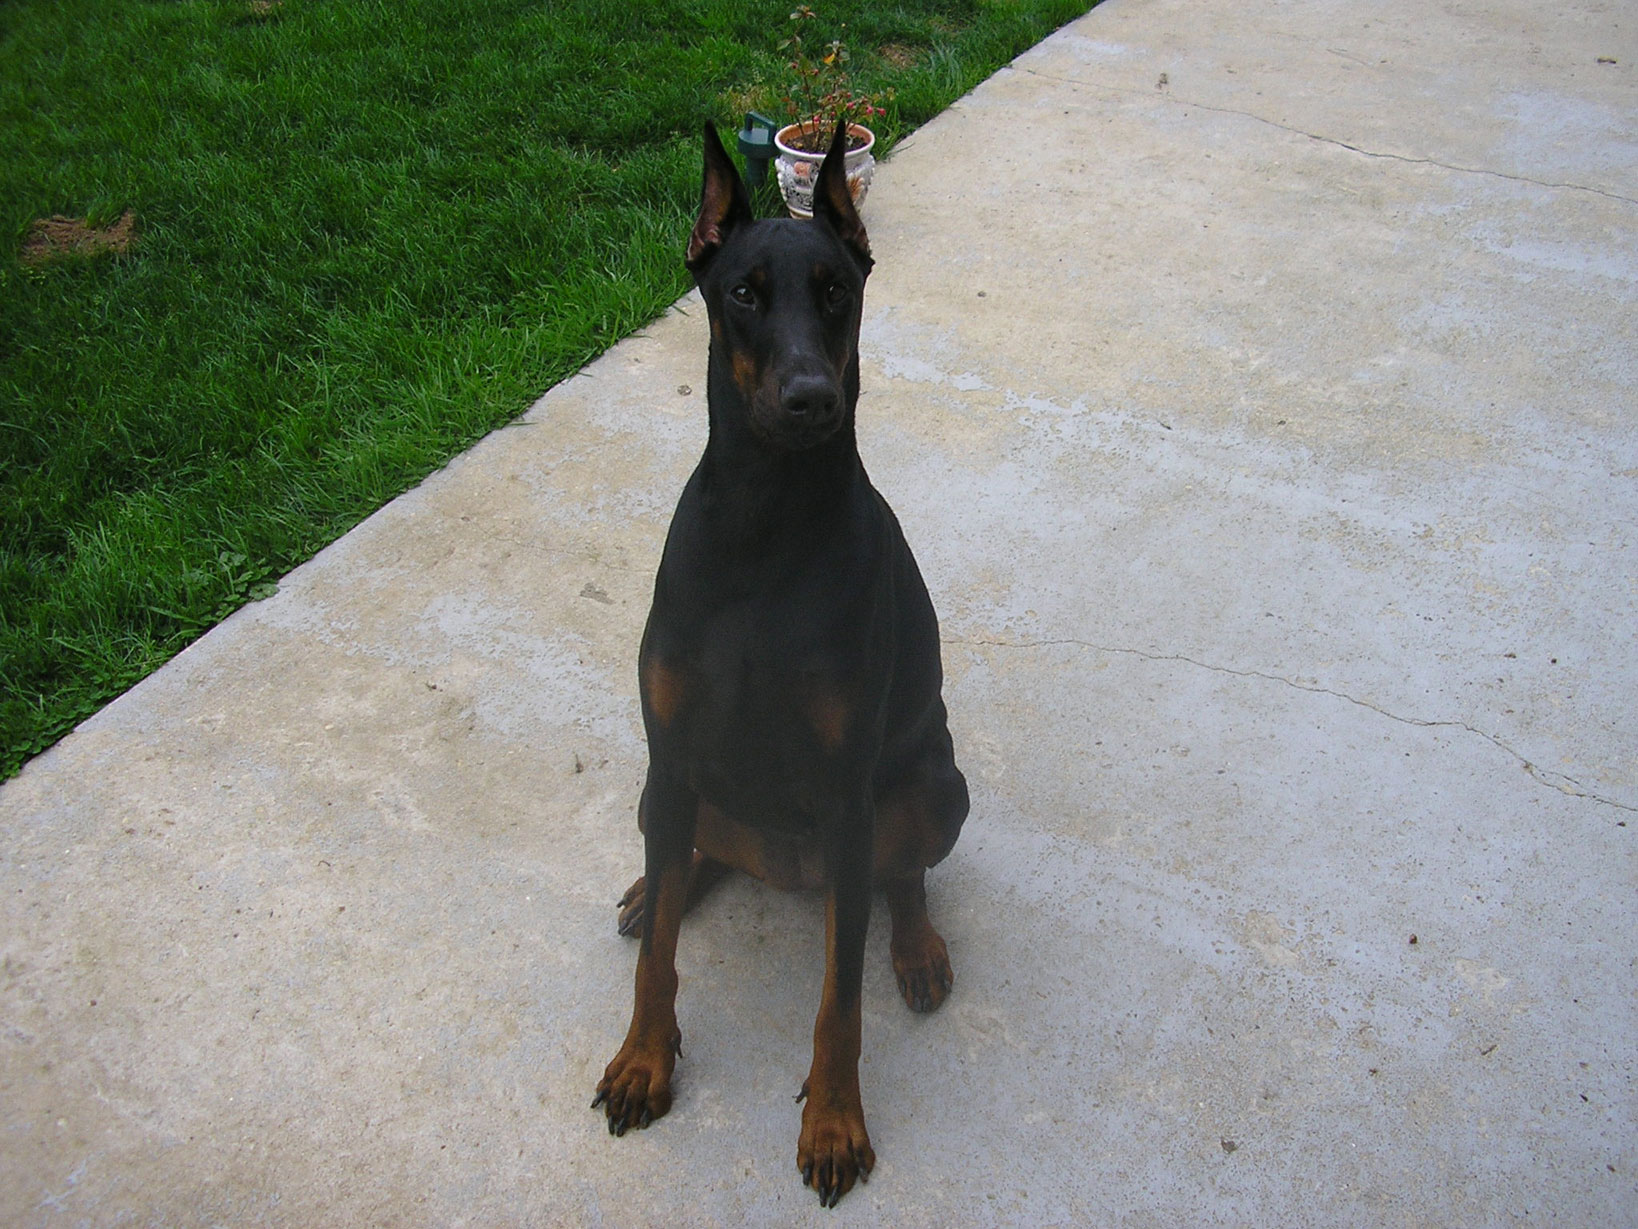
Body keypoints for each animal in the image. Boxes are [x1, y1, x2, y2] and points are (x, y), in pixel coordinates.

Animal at [592, 120, 963, 1206]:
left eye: (836, 289)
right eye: (744, 293)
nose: (809, 397)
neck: (764, 523)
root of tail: (788, 868)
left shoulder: (845, 788)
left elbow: (839, 999)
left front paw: (834, 1123)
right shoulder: (671, 754)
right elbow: (660, 964)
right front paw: (643, 1059)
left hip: (935, 784)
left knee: (900, 875)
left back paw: (917, 949)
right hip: (665, 789)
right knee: (688, 860)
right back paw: (655, 888)